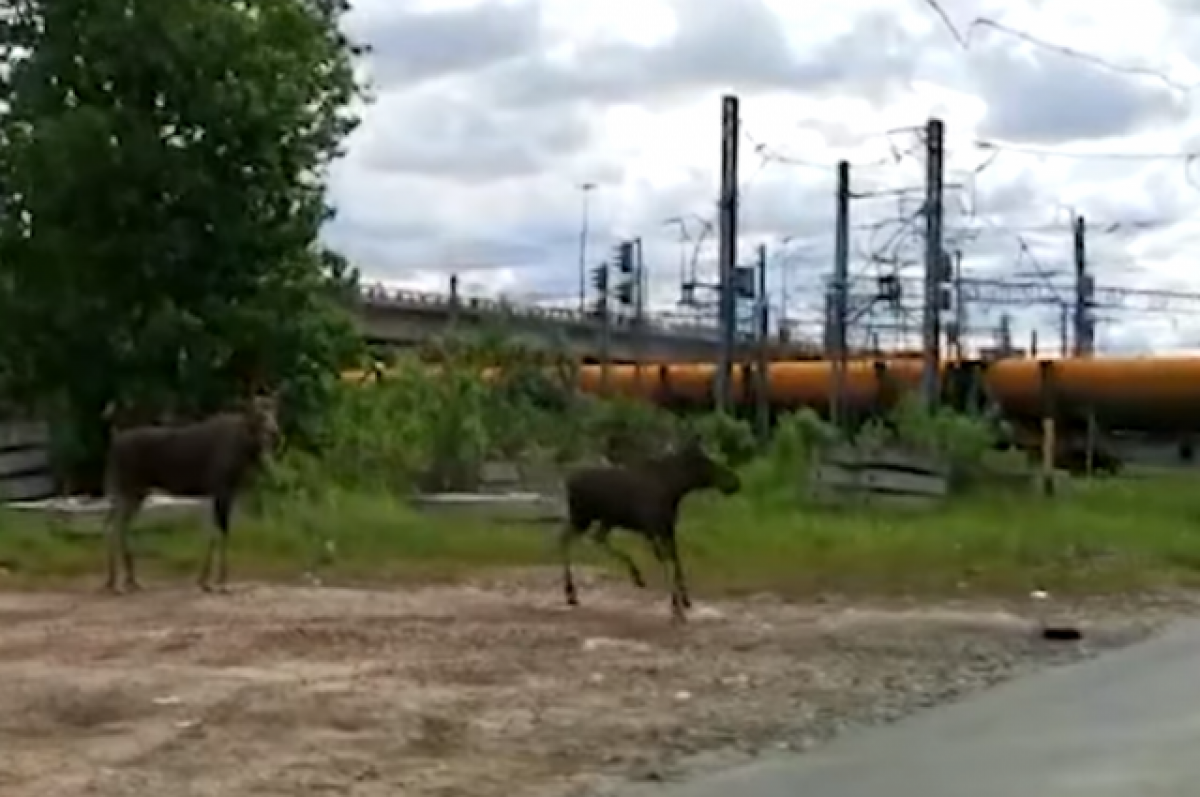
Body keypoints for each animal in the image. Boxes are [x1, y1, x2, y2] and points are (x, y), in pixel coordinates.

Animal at [99, 391, 282, 590]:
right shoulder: (222, 489)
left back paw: (127, 579)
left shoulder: (223, 493)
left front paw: (204, 580)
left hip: (138, 492)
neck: (245, 450)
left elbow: (213, 533)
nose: (274, 432)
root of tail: (113, 444)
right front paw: (221, 581)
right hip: (126, 487)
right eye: (258, 414)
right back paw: (117, 582)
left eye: (274, 411)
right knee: (114, 526)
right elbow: (221, 532)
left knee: (116, 525)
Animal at [559, 436, 739, 624]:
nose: (735, 482)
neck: (674, 489)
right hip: (582, 517)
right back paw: (571, 593)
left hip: (604, 520)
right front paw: (676, 608)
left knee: (593, 538)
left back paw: (635, 576)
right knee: (566, 539)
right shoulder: (652, 530)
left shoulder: (668, 529)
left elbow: (676, 561)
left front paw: (685, 600)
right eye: (707, 463)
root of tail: (568, 482)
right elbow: (667, 562)